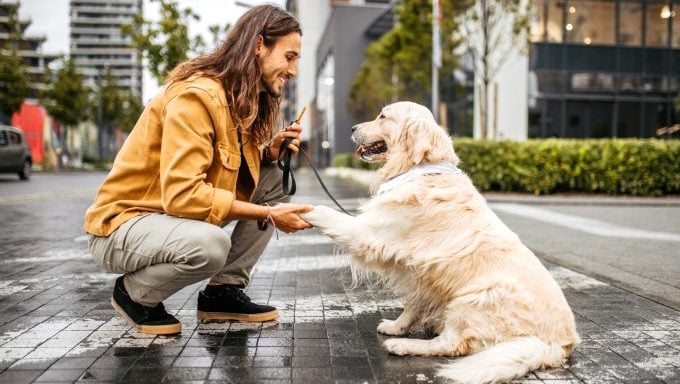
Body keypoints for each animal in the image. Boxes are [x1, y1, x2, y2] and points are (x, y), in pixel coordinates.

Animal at [300, 100, 580, 382]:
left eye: (383, 116)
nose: (354, 128)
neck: (419, 169)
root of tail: (557, 345)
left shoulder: (367, 232)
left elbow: (324, 212)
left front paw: (296, 208)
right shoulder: (420, 273)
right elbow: (413, 304)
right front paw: (397, 326)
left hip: (473, 300)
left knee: (453, 345)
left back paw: (404, 346)